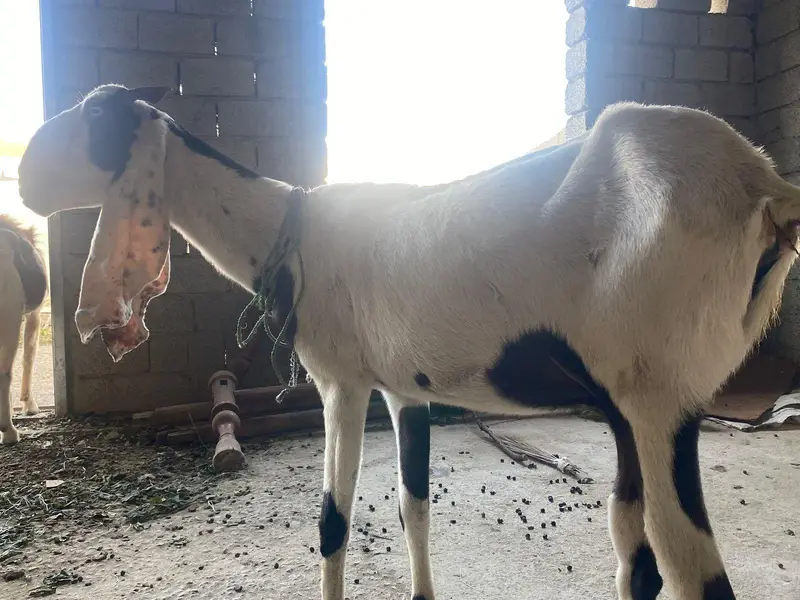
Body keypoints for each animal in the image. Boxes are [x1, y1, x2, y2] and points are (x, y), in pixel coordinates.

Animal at [17, 84, 800, 600]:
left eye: (96, 117)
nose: (23, 179)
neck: (292, 228)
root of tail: (764, 188)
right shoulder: (403, 392)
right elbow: (413, 508)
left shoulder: (343, 382)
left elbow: (333, 522)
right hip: (629, 412)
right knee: (636, 562)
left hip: (660, 401)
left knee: (696, 576)